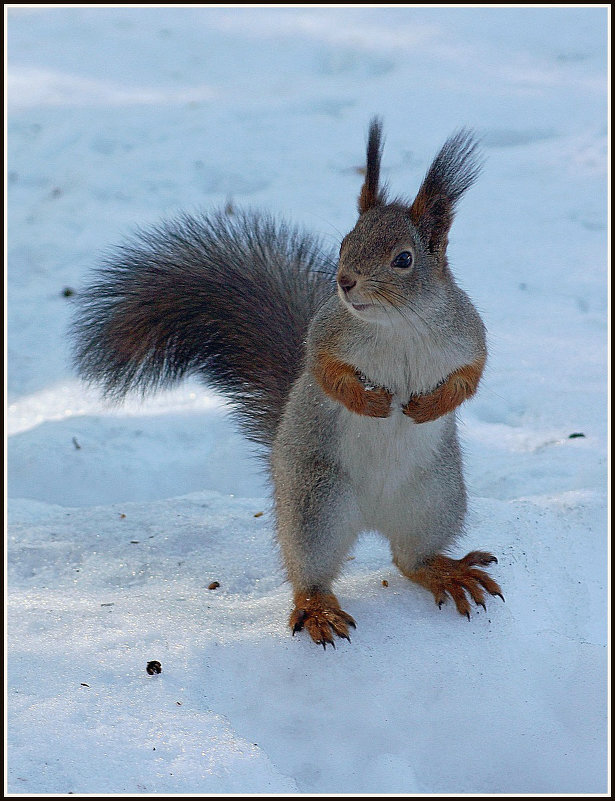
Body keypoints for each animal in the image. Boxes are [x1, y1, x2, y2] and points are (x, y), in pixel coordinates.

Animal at [73, 117, 506, 644]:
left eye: (403, 259)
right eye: (344, 244)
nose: (344, 282)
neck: (396, 324)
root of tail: (371, 517)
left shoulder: (467, 335)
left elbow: (470, 377)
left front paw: (428, 407)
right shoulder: (326, 333)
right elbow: (323, 371)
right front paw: (370, 404)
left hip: (434, 500)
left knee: (411, 559)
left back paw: (446, 571)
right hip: (315, 505)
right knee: (312, 570)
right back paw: (317, 608)